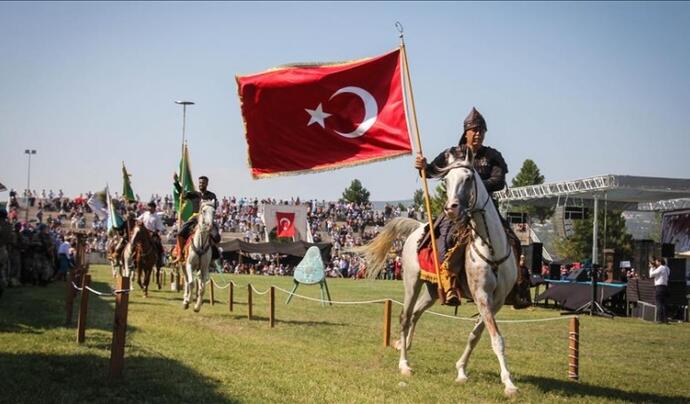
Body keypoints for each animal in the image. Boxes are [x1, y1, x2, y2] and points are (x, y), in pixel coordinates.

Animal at [354, 150, 516, 396]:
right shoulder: (482, 297)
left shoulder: (496, 301)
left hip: (431, 291)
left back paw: (404, 345)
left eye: (468, 178)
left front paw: (461, 371)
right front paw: (509, 383)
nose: (451, 208)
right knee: (405, 317)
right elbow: (496, 338)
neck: (492, 248)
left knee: (415, 315)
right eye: (446, 181)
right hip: (412, 283)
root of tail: (417, 229)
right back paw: (404, 364)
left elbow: (476, 335)